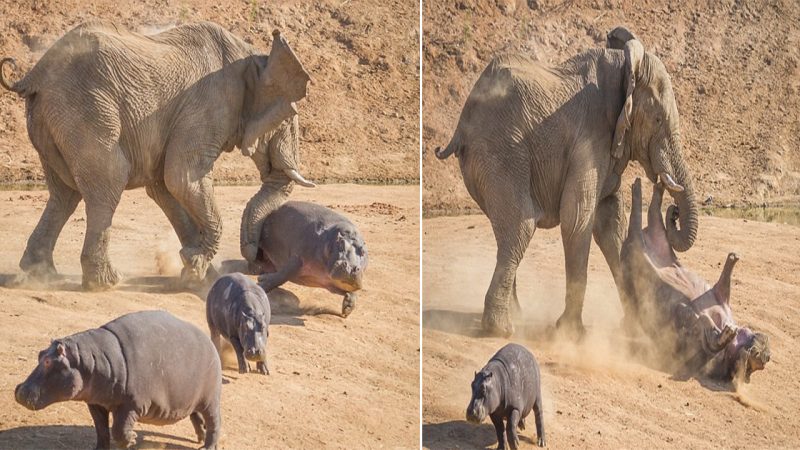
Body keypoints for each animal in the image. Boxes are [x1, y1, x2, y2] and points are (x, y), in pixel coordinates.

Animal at [0, 21, 312, 290]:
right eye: (286, 119)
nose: (255, 259)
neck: (253, 58)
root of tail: (35, 74)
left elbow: (165, 187)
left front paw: (199, 273)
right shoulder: (208, 106)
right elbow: (182, 179)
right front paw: (196, 268)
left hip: (50, 119)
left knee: (64, 194)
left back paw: (41, 274)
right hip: (86, 110)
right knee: (108, 182)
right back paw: (105, 284)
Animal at [12, 312, 223, 448]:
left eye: (48, 361)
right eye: (40, 354)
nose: (19, 390)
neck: (90, 360)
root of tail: (211, 343)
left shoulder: (131, 405)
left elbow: (119, 431)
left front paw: (132, 439)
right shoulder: (96, 403)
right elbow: (102, 430)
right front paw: (100, 449)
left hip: (210, 399)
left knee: (214, 421)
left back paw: (207, 446)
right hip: (191, 399)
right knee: (196, 416)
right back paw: (200, 437)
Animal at [434, 26, 696, 336]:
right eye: (657, 120)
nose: (674, 211)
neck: (625, 68)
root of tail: (462, 123)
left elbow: (611, 224)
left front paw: (634, 327)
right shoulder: (590, 137)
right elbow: (578, 218)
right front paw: (572, 333)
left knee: (507, 231)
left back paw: (515, 316)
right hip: (501, 152)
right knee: (520, 226)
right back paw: (501, 329)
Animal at [620, 178, 768, 382]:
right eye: (760, 362)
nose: (766, 355)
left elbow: (706, 334)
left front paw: (725, 332)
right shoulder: (720, 293)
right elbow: (723, 284)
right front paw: (734, 257)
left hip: (637, 246)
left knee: (642, 214)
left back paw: (640, 185)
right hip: (646, 238)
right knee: (650, 210)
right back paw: (647, 185)